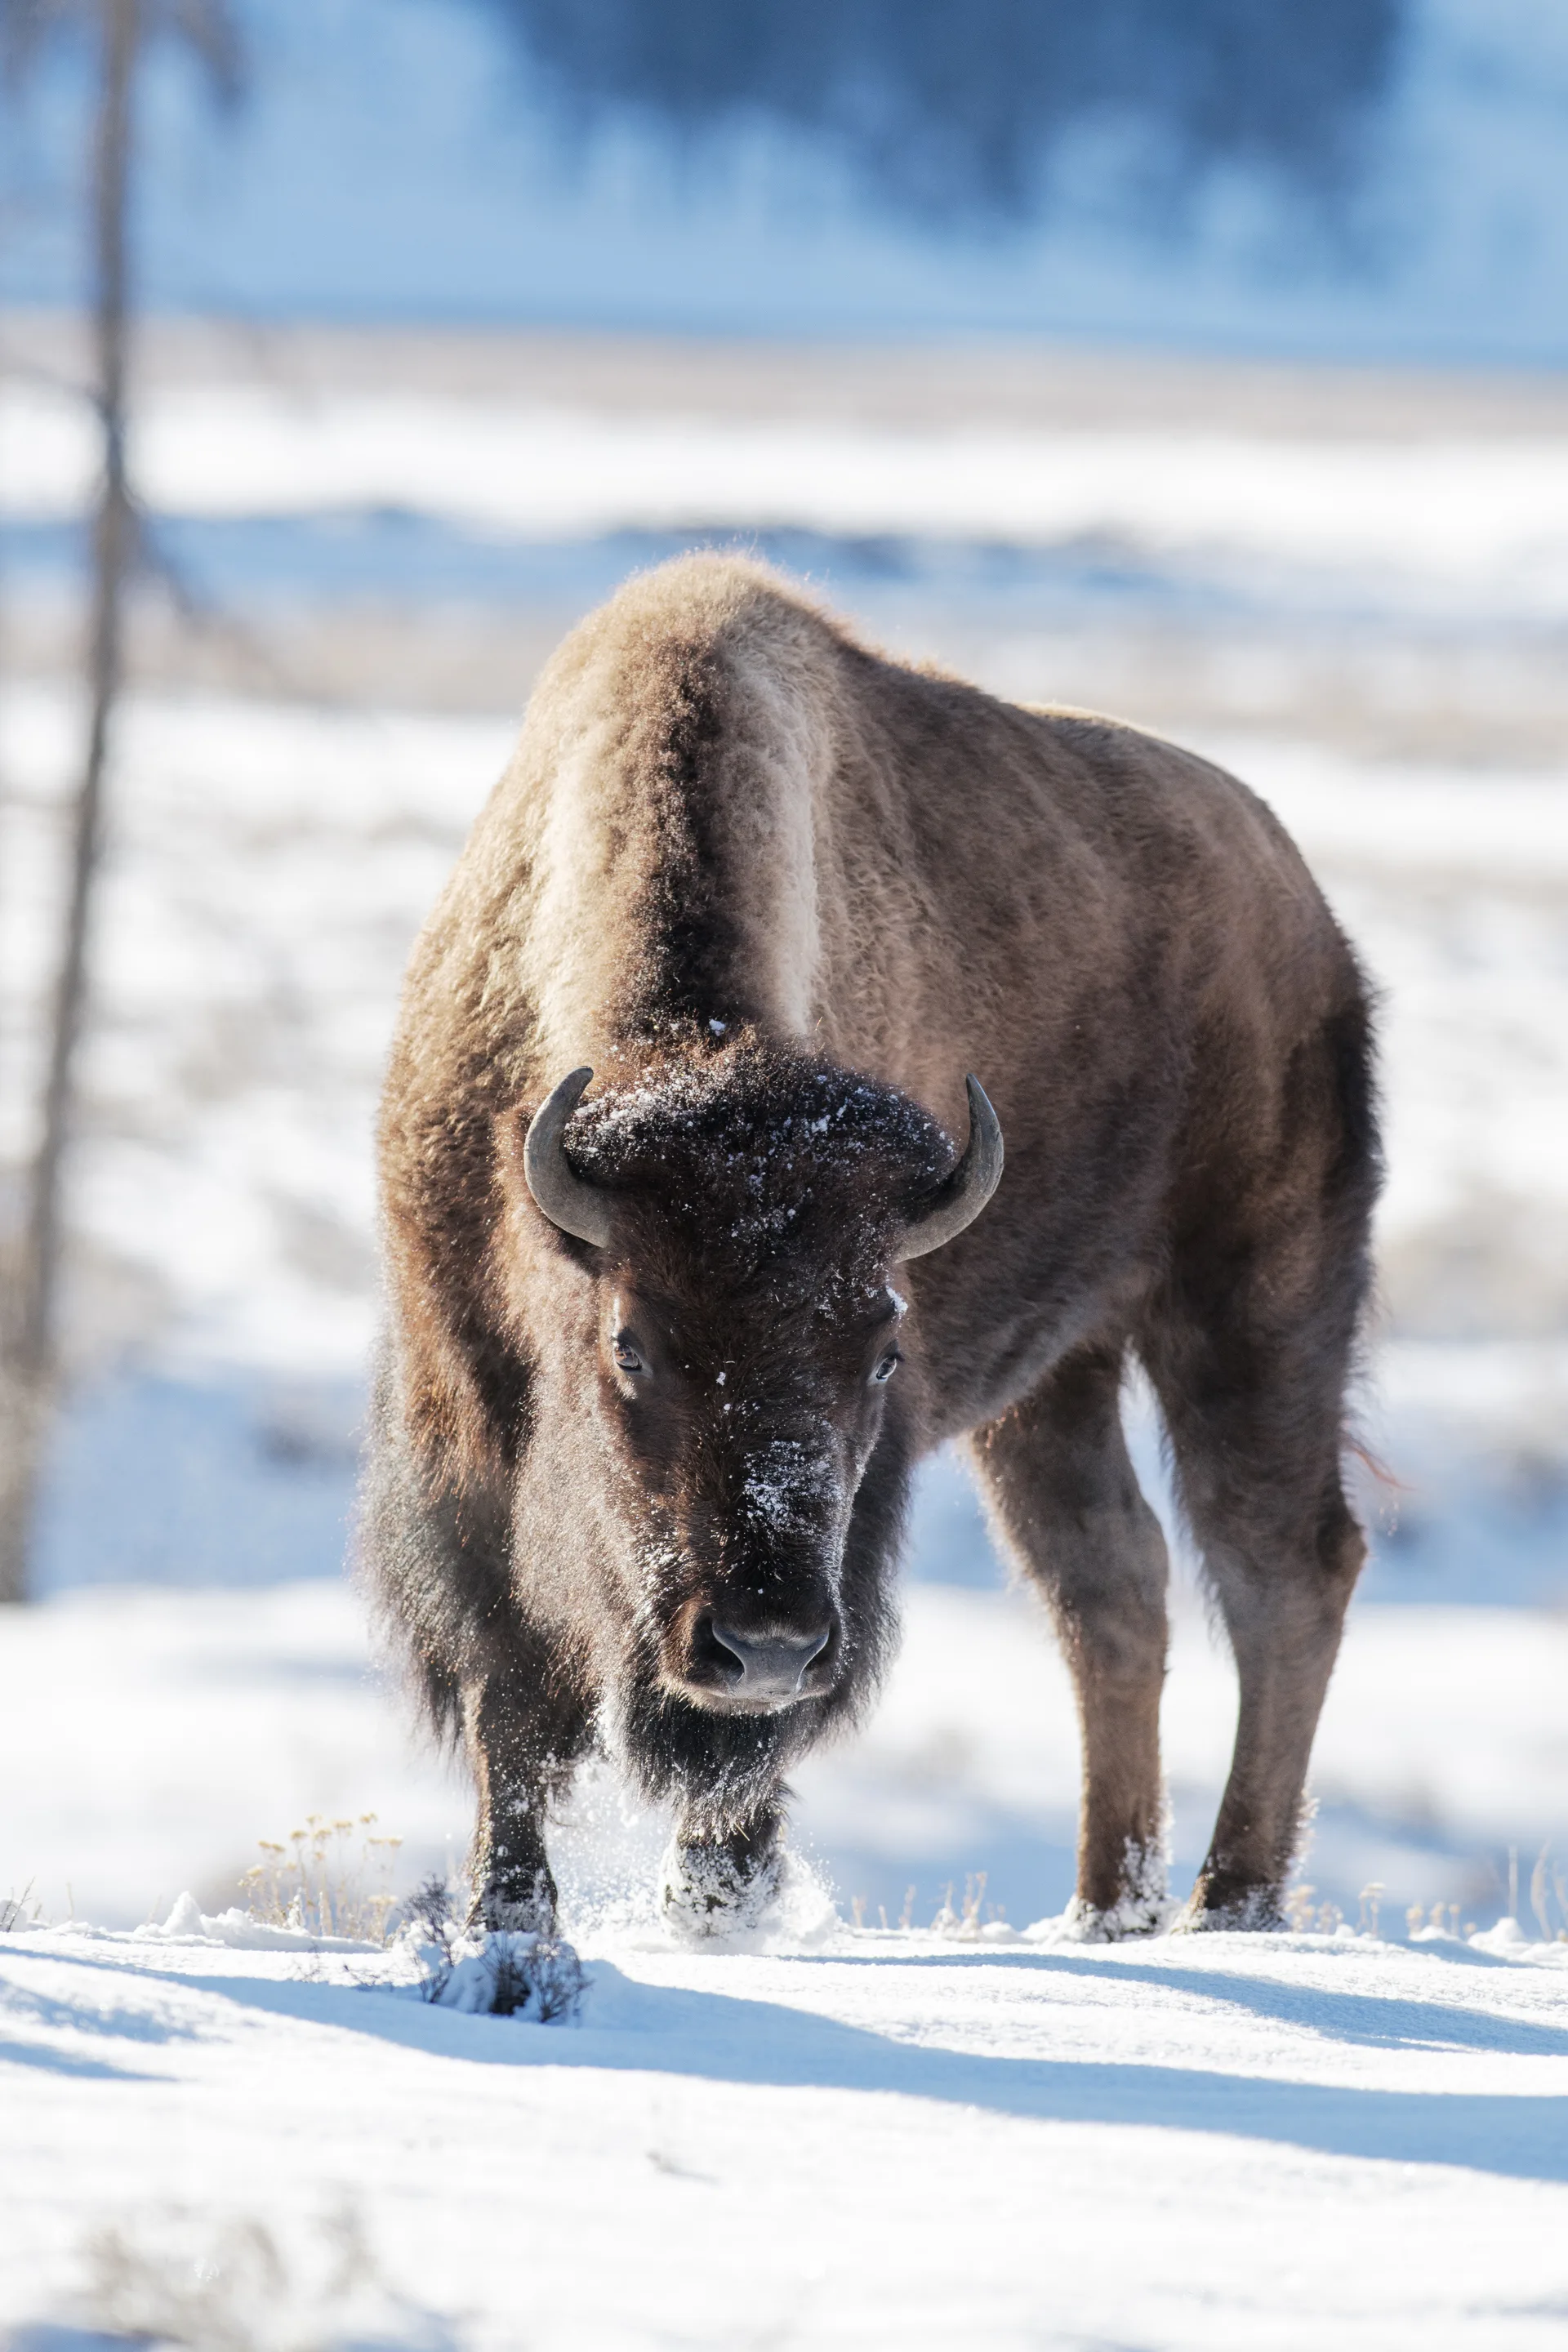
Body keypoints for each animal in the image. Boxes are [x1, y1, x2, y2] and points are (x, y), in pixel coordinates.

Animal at [365, 553, 1378, 1937]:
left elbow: (734, 1750)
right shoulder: (461, 1407)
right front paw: (507, 1910)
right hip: (1058, 1383)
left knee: (1282, 1567)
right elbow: (509, 1687)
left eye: (881, 1353)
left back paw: (1231, 1903)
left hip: (1257, 1305)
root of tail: (1303, 904)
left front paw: (717, 1902)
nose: (765, 1645)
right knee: (1113, 1588)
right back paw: (1104, 1908)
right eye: (631, 1345)